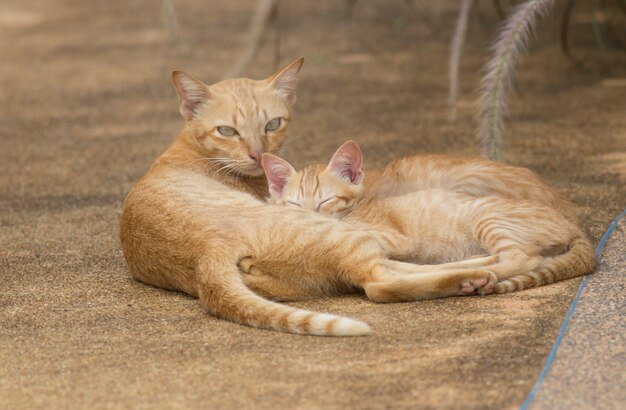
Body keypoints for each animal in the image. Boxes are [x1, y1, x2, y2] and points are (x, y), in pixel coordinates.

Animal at [260, 139, 592, 296]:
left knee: (524, 258)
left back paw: (480, 275)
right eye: (294, 203)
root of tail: (573, 225)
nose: (307, 218)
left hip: (485, 216)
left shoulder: (392, 236)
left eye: (326, 200)